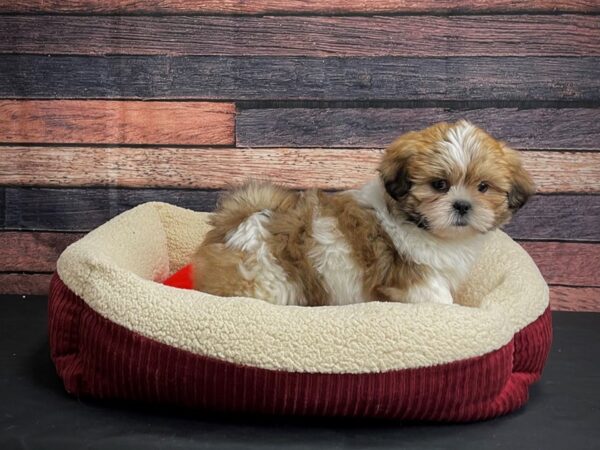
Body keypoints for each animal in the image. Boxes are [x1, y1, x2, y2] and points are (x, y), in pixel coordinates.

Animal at [192, 119, 536, 306]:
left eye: (483, 187)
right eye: (439, 185)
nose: (462, 205)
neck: (423, 227)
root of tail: (238, 223)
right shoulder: (416, 276)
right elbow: (439, 298)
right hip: (267, 281)